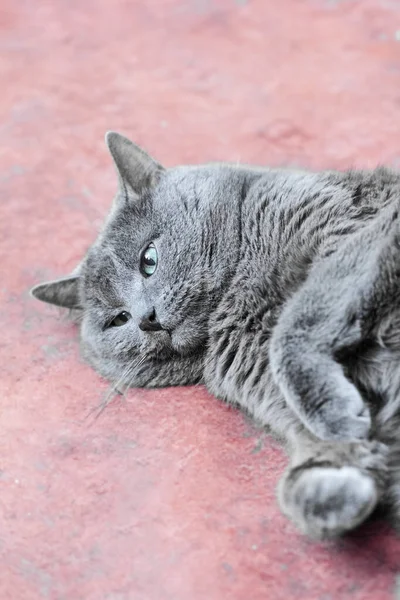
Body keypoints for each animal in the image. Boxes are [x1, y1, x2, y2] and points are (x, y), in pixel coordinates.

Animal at [30, 134, 400, 540]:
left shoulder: (355, 232)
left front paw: (336, 416)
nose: (146, 319)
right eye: (118, 320)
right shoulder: (261, 383)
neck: (231, 307)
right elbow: (310, 448)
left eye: (148, 260)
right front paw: (332, 486)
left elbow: (293, 328)